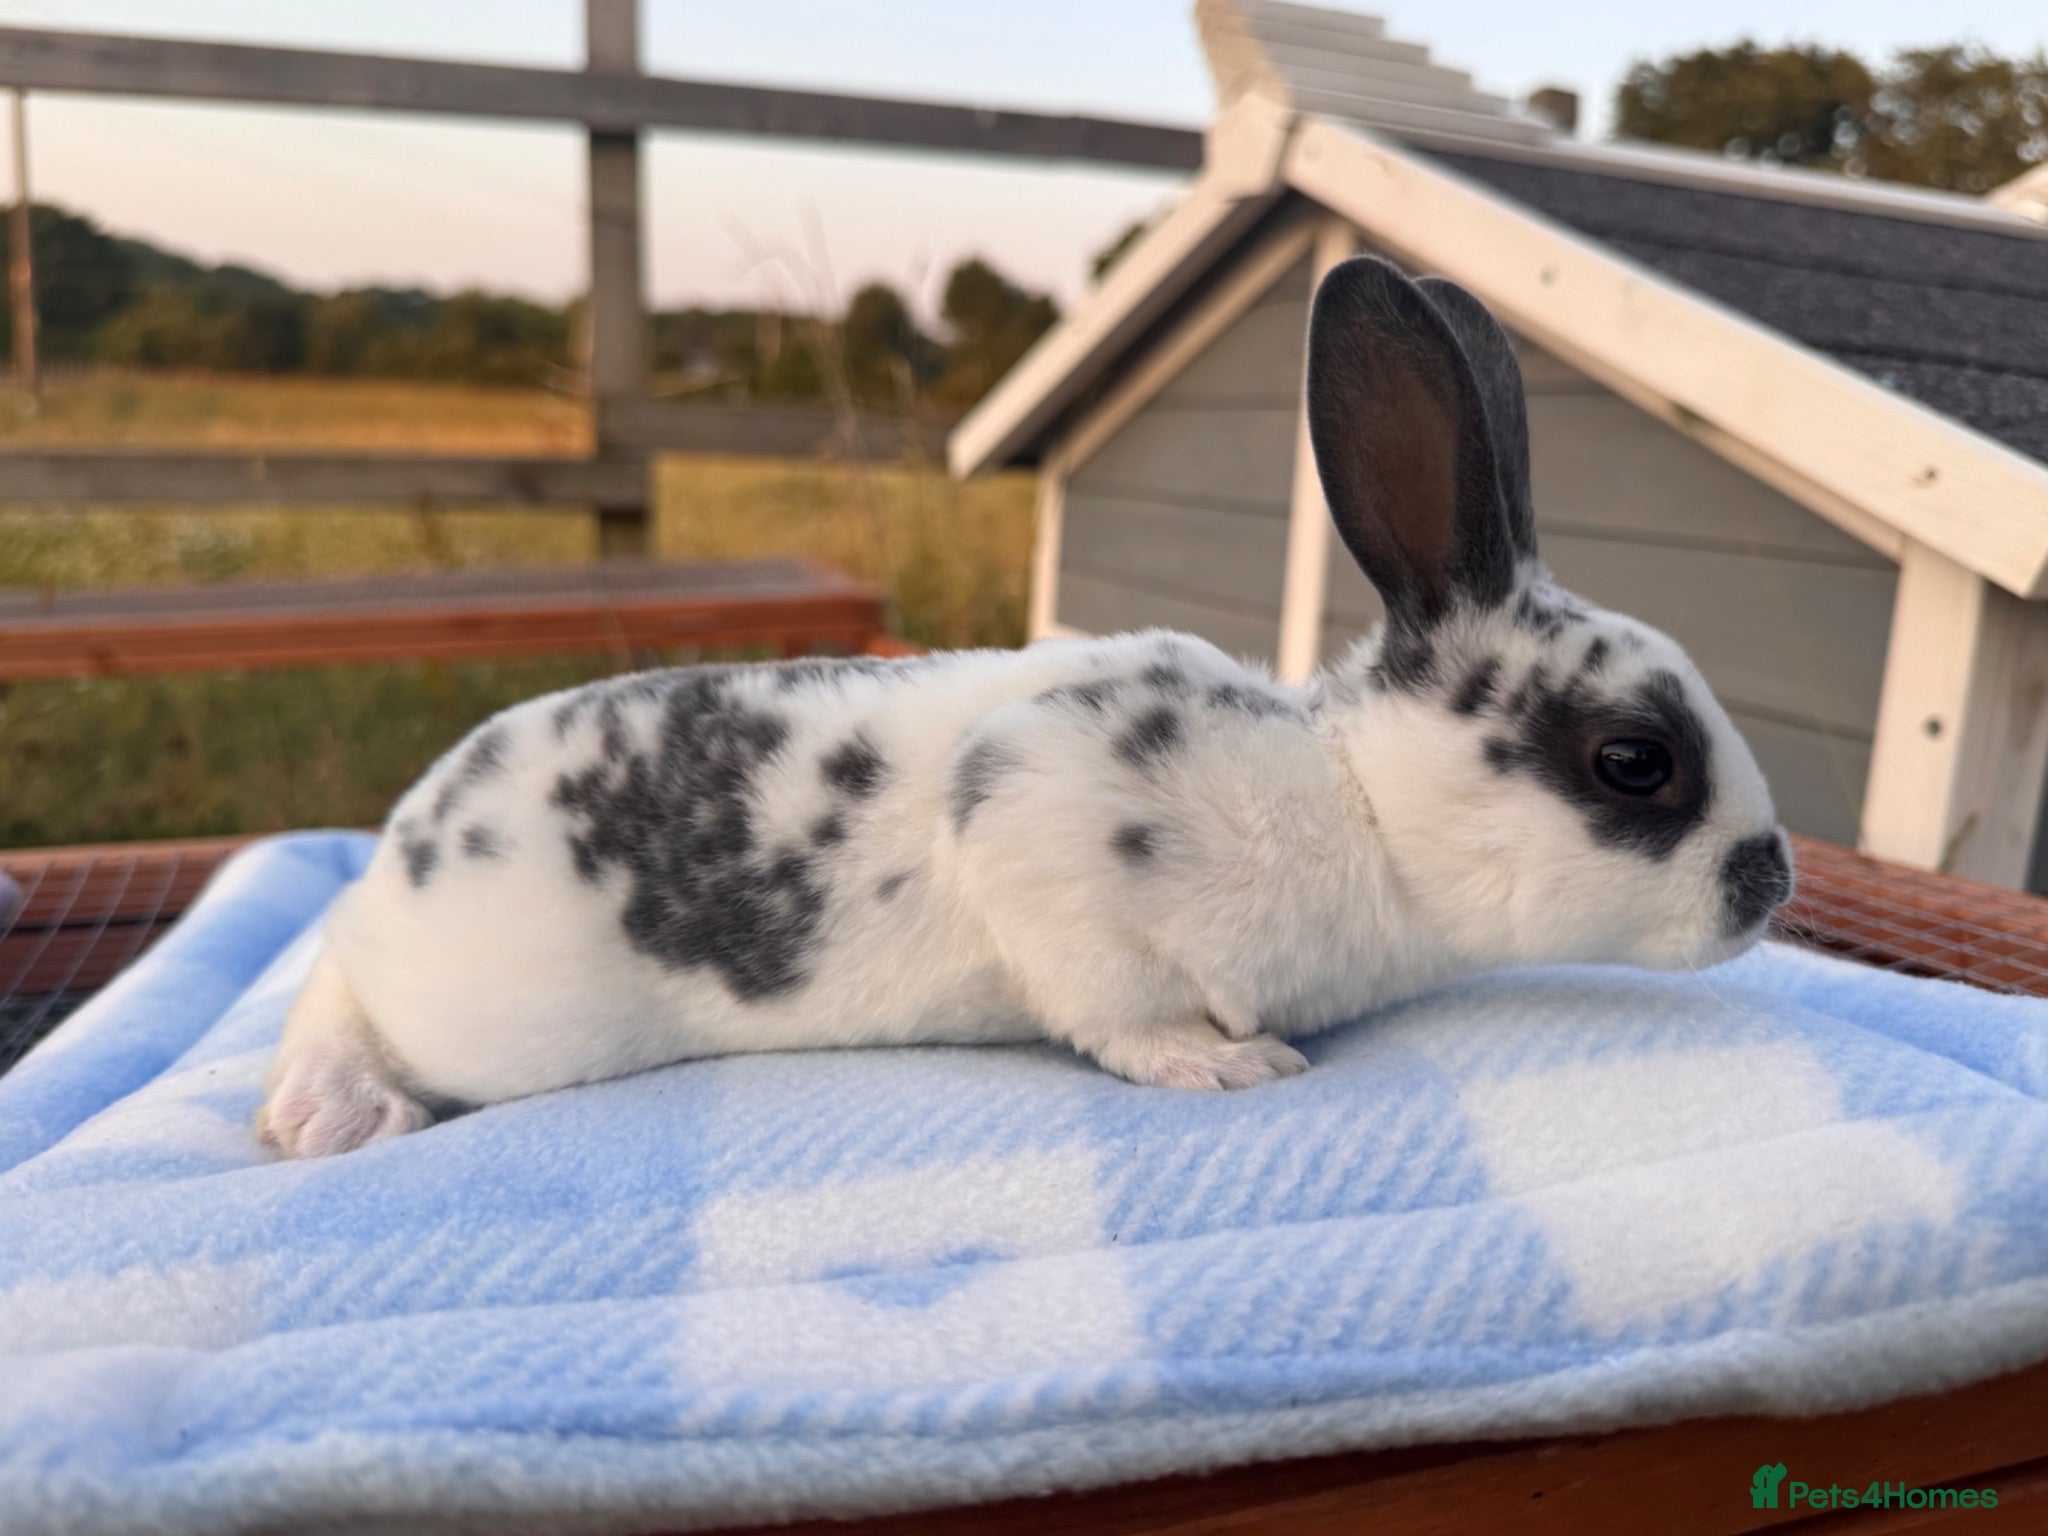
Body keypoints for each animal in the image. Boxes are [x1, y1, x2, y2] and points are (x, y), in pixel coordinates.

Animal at [259, 257, 1793, 1158]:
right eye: (1633, 761)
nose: (1770, 878)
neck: (1358, 808)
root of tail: (414, 831)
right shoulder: (1038, 808)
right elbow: (1110, 1001)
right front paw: (1226, 1068)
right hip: (485, 1014)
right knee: (337, 979)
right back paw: (336, 1112)